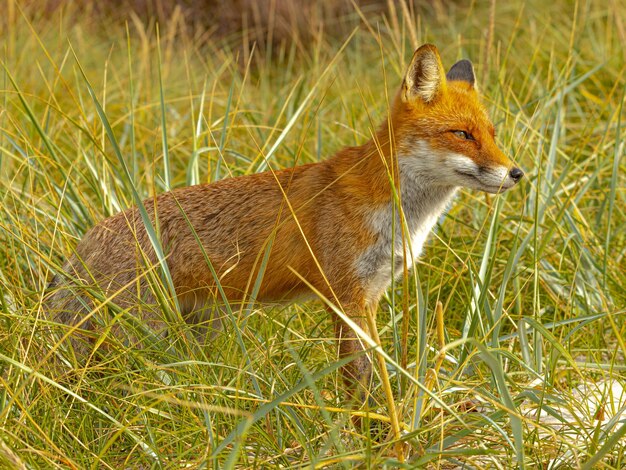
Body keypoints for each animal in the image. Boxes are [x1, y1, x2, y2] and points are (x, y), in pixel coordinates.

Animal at [45, 44, 520, 404]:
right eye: (462, 135)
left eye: (493, 134)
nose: (517, 173)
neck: (401, 215)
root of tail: (84, 242)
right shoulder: (345, 297)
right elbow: (362, 377)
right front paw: (371, 430)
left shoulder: (372, 292)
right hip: (141, 337)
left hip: (200, 326)